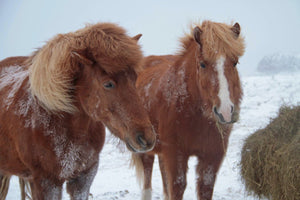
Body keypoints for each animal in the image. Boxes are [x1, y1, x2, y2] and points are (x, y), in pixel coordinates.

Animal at [132, 20, 245, 200]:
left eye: (235, 62)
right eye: (203, 64)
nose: (225, 112)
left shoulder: (212, 156)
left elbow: (204, 188)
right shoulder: (175, 154)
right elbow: (177, 187)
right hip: (146, 148)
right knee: (147, 180)